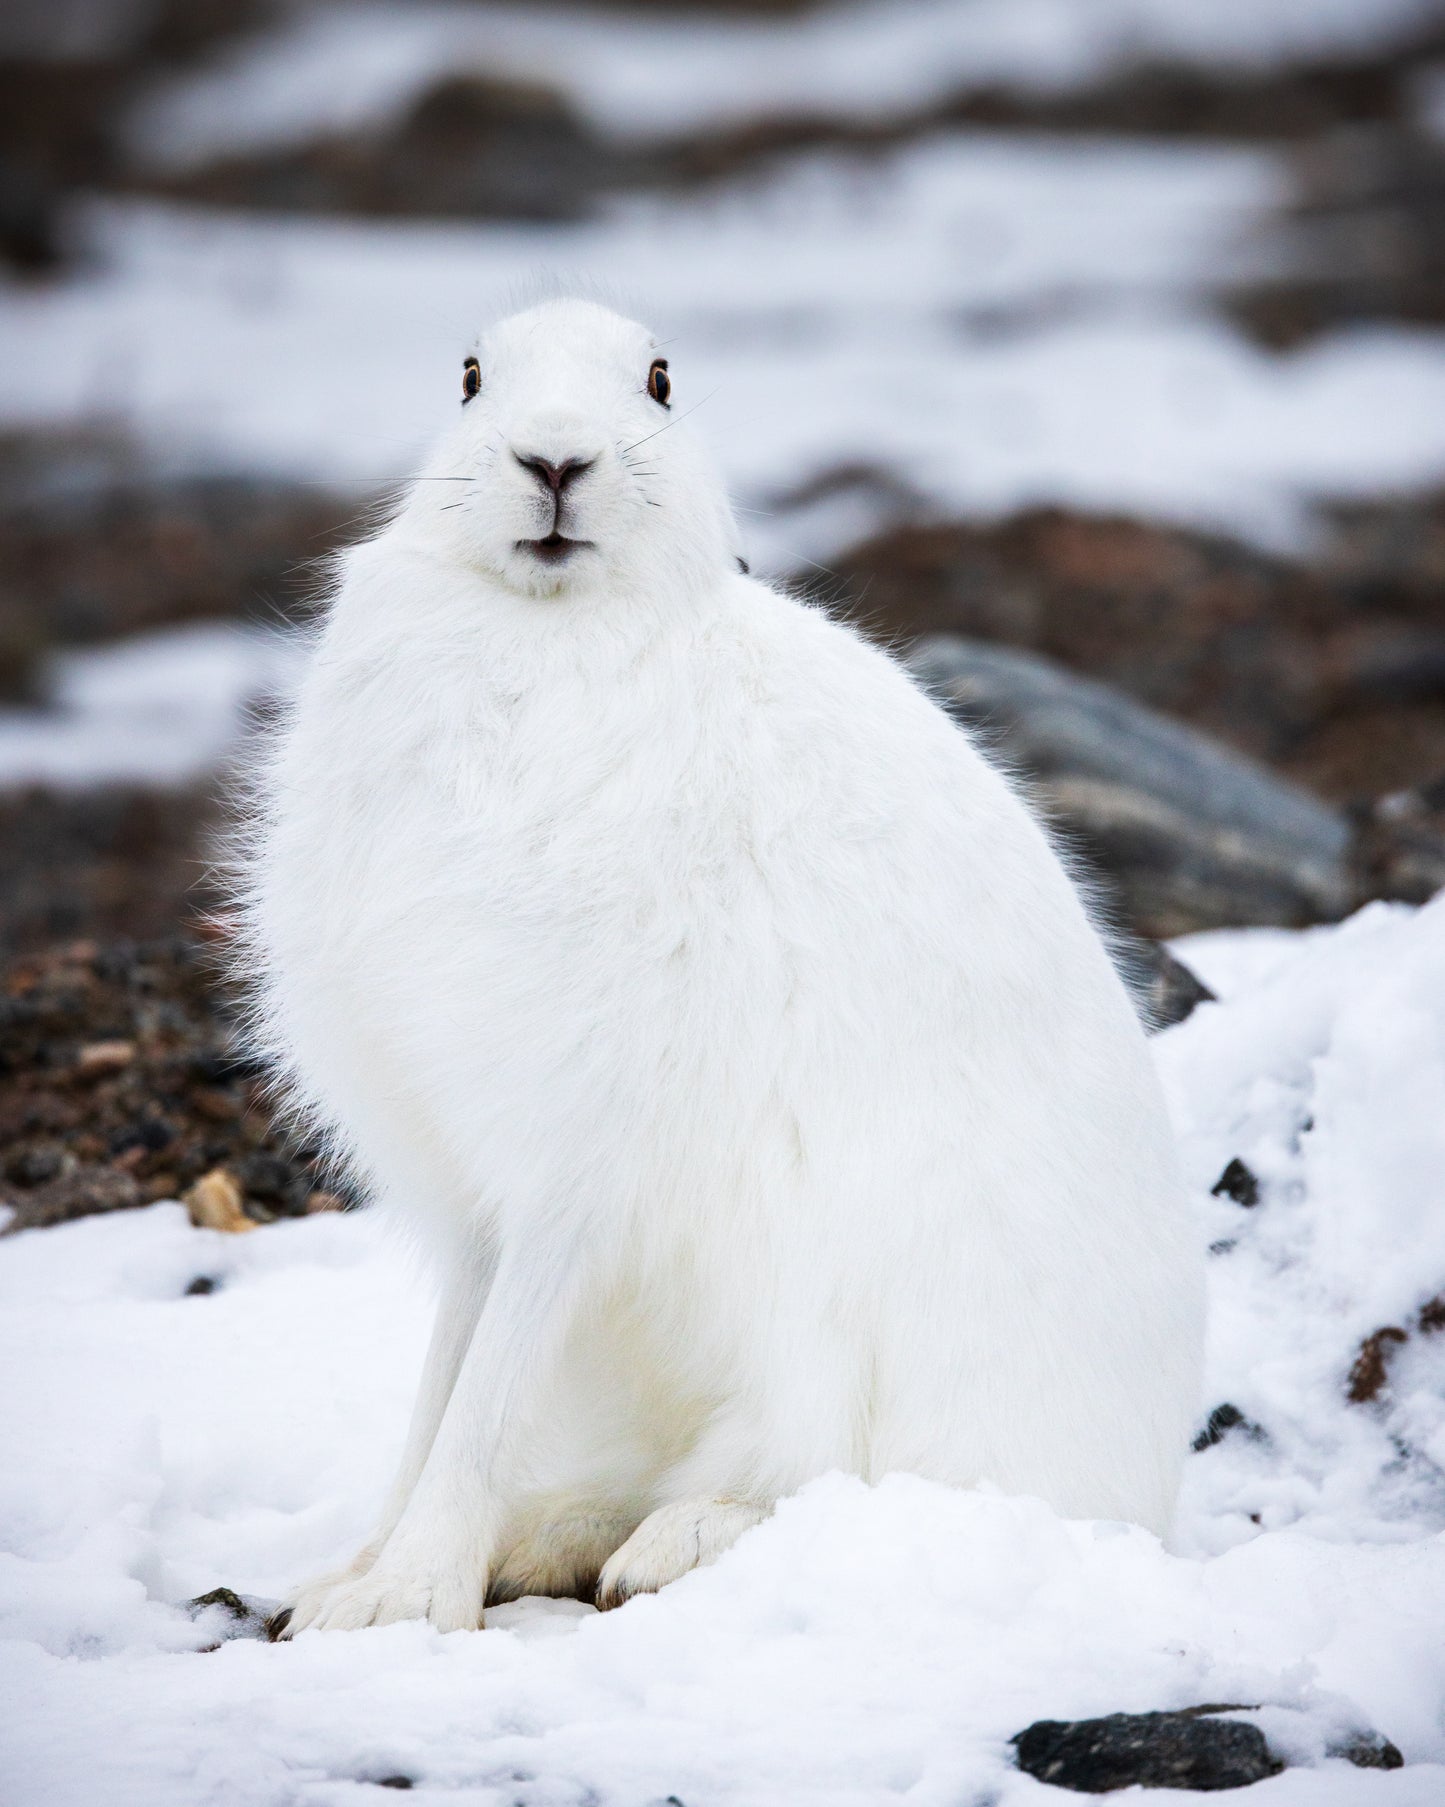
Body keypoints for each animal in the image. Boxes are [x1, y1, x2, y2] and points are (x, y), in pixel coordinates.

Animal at [242, 297, 1204, 1635]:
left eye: (657, 380)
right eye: (471, 377)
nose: (553, 459)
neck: (551, 632)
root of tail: (1134, 1501)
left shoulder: (576, 1159)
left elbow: (484, 1392)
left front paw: (401, 1601)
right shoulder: (474, 1183)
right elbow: (442, 1382)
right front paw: (350, 1578)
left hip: (842, 1336)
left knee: (827, 1486)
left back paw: (674, 1541)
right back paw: (553, 1538)